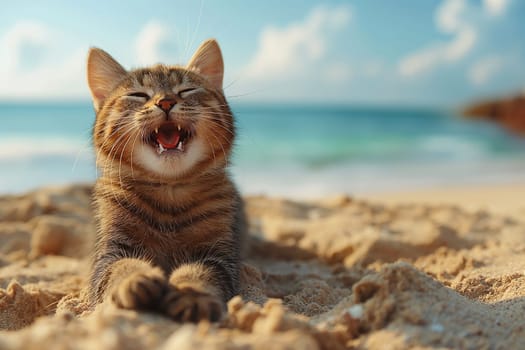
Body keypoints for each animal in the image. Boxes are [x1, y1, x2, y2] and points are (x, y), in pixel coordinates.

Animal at [85, 39, 244, 322]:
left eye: (187, 90)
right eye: (138, 95)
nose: (167, 102)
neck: (169, 193)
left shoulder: (219, 255)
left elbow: (202, 272)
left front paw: (192, 292)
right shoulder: (109, 250)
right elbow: (119, 266)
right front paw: (134, 278)